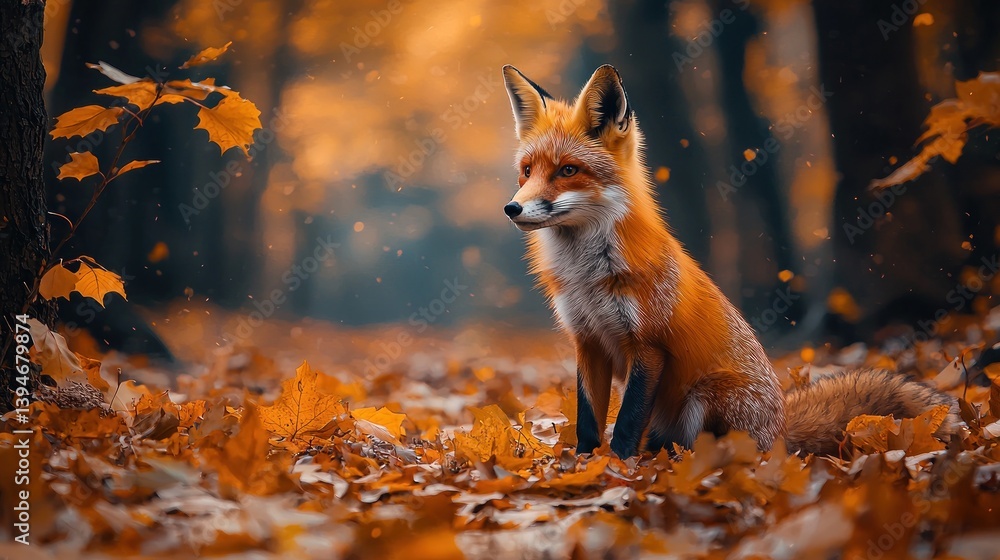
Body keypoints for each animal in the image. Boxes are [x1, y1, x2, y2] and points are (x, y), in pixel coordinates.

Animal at [500, 64, 959, 458]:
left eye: (568, 170)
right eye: (527, 171)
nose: (512, 208)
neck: (588, 277)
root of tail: (781, 433)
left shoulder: (648, 346)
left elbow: (627, 424)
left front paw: (617, 470)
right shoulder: (588, 342)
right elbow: (588, 423)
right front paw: (583, 466)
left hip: (706, 396)